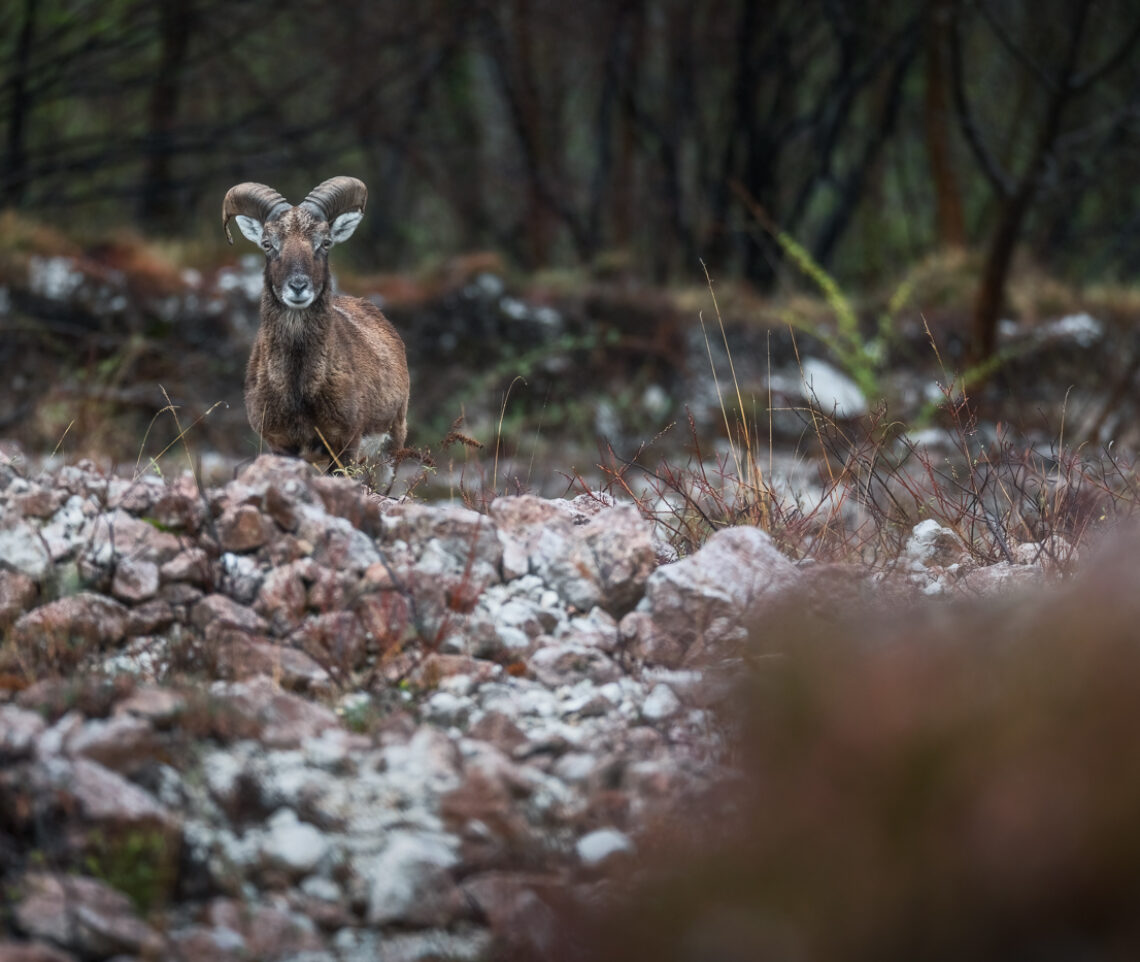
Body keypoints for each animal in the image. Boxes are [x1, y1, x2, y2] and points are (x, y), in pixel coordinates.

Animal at [220, 178, 408, 467]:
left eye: (326, 242)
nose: (298, 286)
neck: (299, 390)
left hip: (392, 445)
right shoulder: (281, 445)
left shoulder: (345, 445)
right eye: (267, 243)